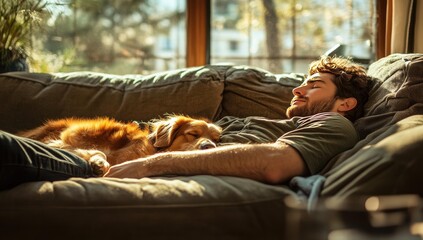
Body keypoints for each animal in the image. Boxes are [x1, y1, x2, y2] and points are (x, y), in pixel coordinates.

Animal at [19, 115, 222, 175]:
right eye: (193, 134)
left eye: (216, 140)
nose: (210, 146)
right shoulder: (68, 137)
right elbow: (97, 152)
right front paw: (98, 161)